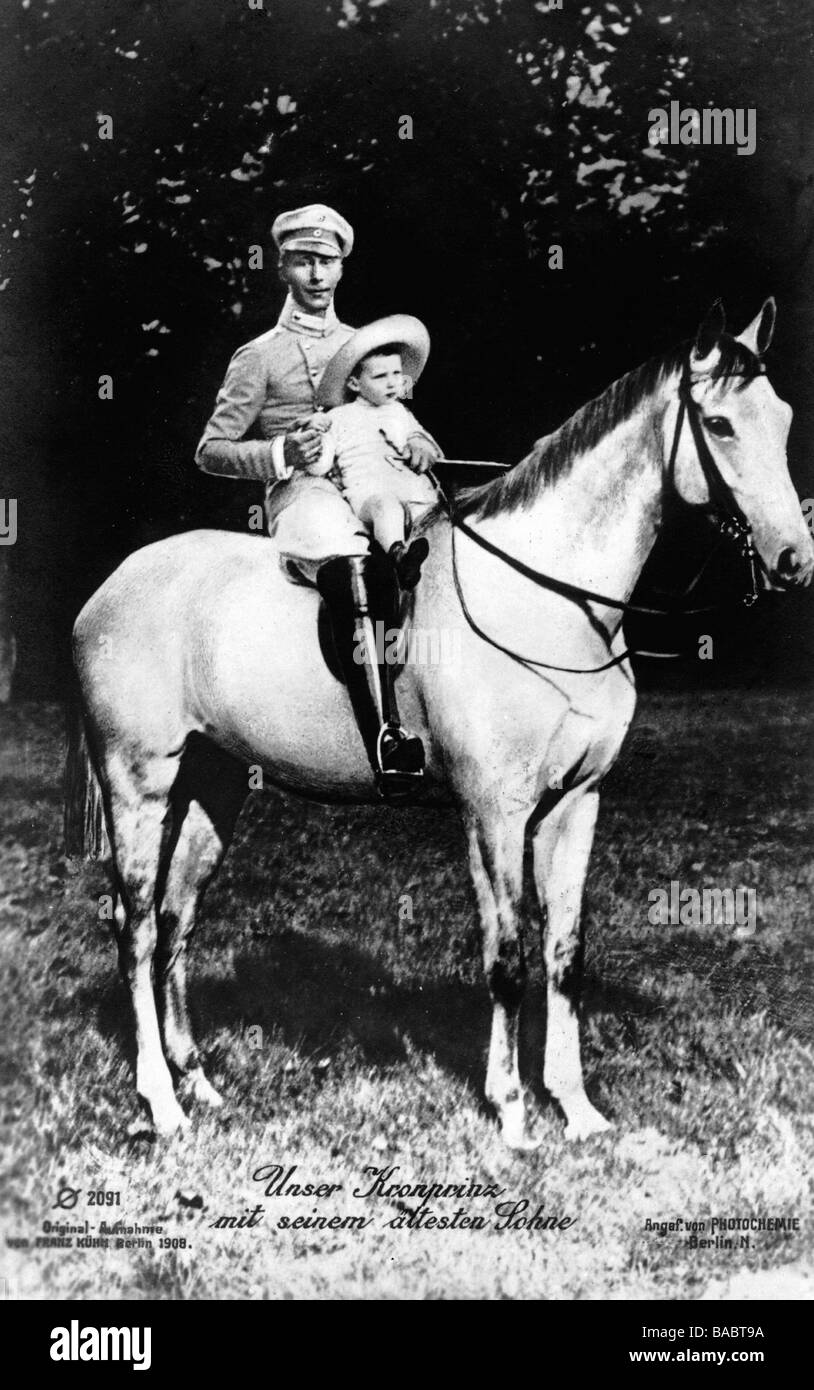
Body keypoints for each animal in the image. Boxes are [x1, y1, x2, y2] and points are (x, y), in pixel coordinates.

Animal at [64, 298, 813, 1147]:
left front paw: (576, 1109)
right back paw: (160, 1103)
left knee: (175, 920)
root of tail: (111, 587)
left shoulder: (575, 804)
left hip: (211, 786)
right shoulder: (495, 810)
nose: (794, 558)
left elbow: (564, 952)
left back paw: (198, 1082)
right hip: (140, 785)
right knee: (134, 928)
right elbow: (507, 952)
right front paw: (512, 1112)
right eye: (718, 423)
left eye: (782, 417)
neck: (548, 600)